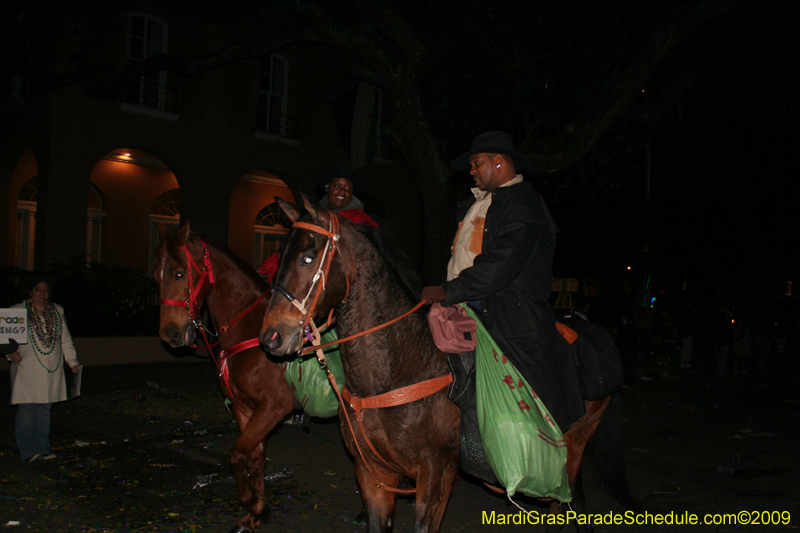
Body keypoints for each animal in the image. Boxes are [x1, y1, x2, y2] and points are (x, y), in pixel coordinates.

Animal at [153, 221, 294, 532]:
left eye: (179, 273)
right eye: (156, 275)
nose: (171, 334)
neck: (249, 328)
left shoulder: (275, 406)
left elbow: (237, 455)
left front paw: (256, 505)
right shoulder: (245, 408)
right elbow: (254, 460)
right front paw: (253, 515)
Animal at [260, 196, 636, 532]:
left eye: (308, 258)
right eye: (280, 256)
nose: (271, 336)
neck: (398, 369)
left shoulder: (436, 472)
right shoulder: (373, 475)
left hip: (573, 448)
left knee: (567, 504)